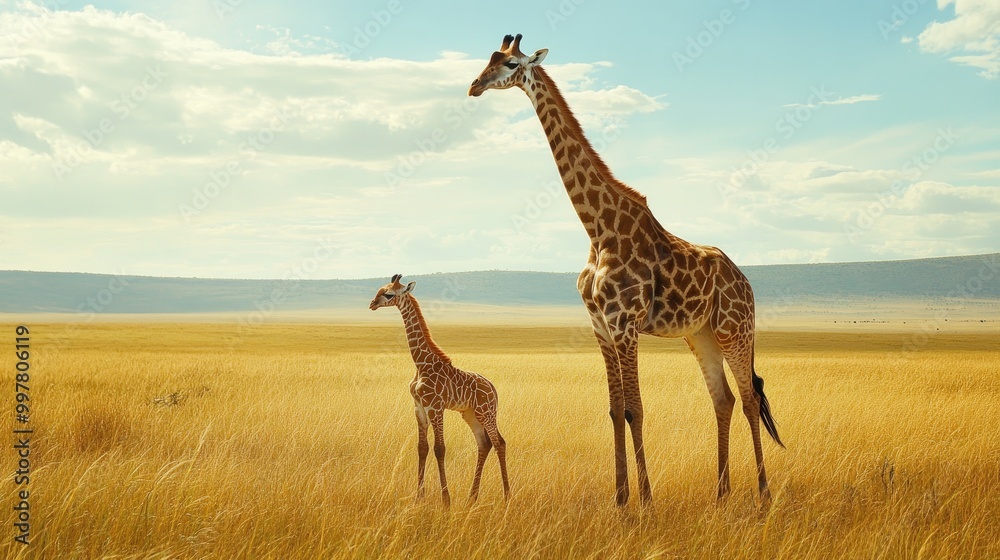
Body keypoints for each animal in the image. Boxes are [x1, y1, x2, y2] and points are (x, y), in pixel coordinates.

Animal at [369, 274, 510, 507]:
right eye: (379, 290)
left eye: (388, 294)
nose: (372, 304)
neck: (421, 363)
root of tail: (493, 388)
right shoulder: (419, 408)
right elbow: (422, 448)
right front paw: (419, 497)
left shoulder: (436, 407)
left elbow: (440, 449)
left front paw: (446, 500)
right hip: (470, 414)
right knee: (484, 444)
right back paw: (472, 497)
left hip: (486, 412)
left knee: (499, 442)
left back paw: (507, 495)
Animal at [468, 34, 783, 505]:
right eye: (487, 59)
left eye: (508, 63)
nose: (473, 86)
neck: (597, 228)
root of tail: (746, 281)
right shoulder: (600, 324)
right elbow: (616, 409)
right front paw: (619, 499)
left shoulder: (625, 321)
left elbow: (636, 409)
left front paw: (646, 501)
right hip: (701, 333)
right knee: (723, 400)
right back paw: (721, 493)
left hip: (735, 328)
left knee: (748, 399)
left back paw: (762, 494)